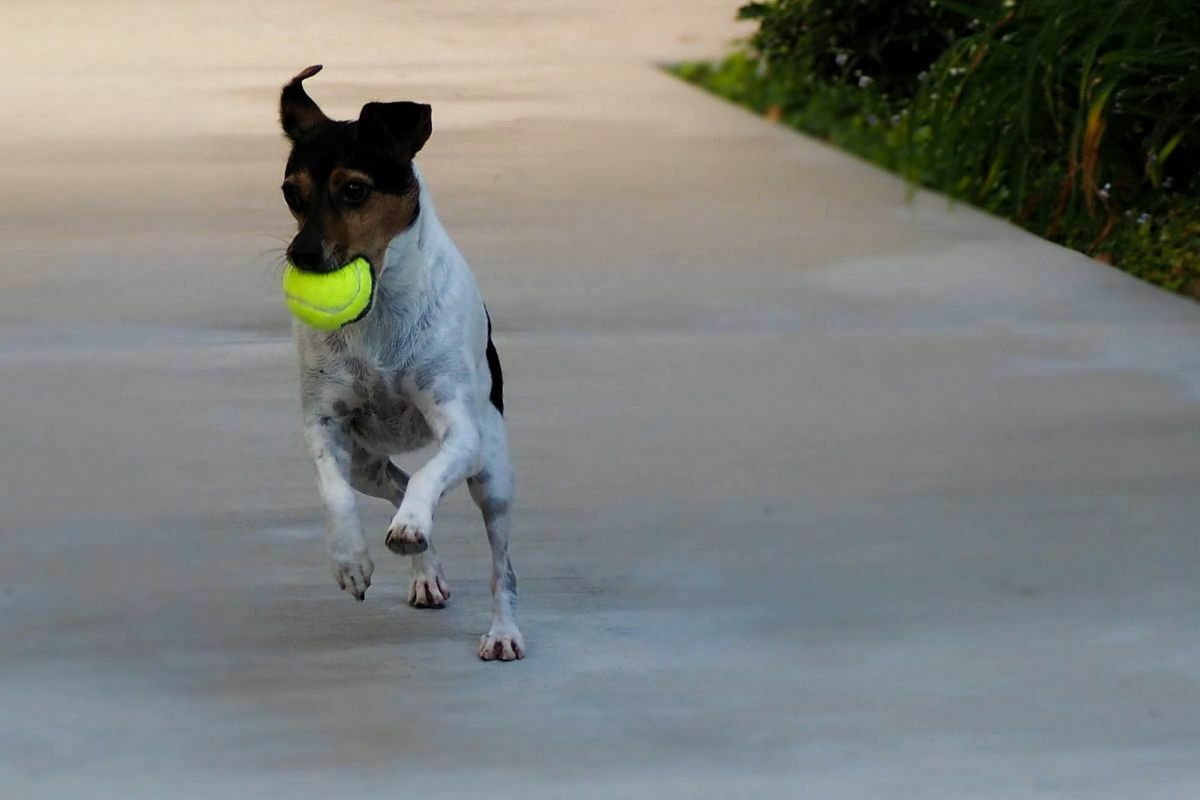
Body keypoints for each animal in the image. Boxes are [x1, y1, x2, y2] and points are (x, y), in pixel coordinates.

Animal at [283, 65, 528, 662]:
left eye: (355, 189)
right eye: (290, 193)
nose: (301, 255)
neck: (378, 320)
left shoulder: (459, 430)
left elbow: (428, 480)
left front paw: (413, 524)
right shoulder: (323, 426)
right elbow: (335, 494)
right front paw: (350, 558)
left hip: (493, 473)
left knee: (502, 567)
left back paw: (502, 630)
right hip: (366, 463)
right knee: (392, 479)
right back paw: (426, 572)